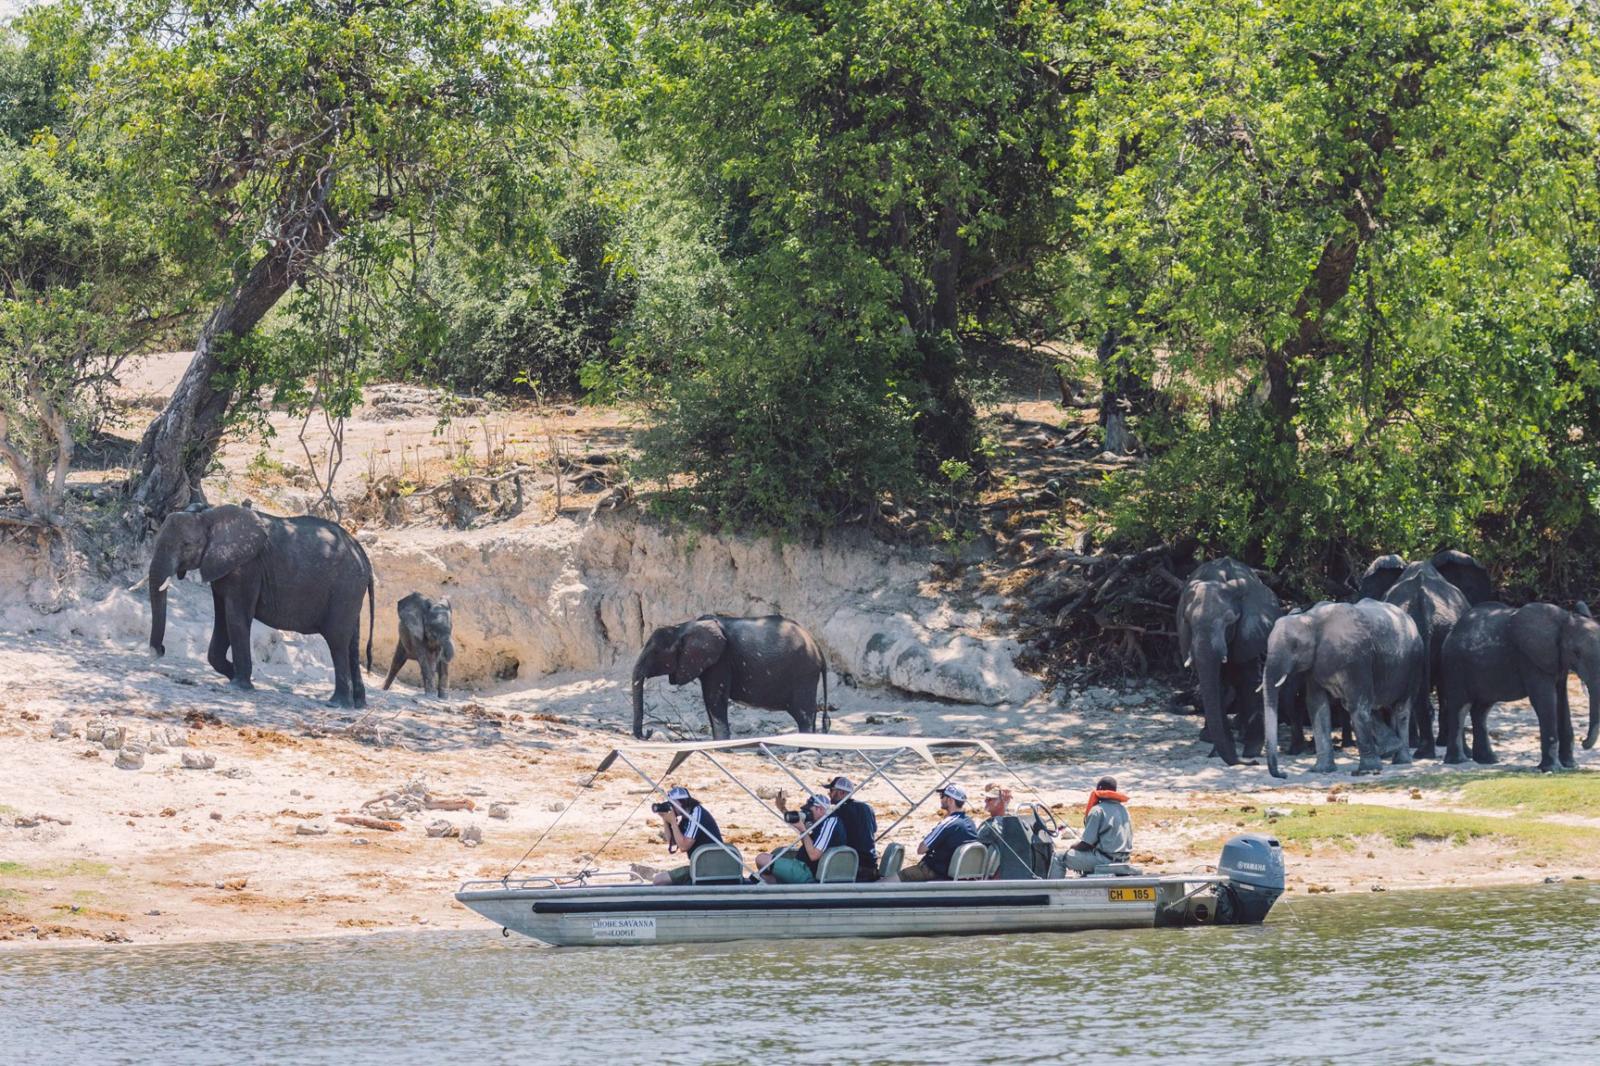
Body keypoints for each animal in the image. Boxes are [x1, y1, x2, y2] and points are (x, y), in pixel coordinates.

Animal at [141, 504, 375, 708]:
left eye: (187, 545)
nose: (160, 650)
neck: (209, 516)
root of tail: (364, 557)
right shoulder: (224, 568)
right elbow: (222, 619)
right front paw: (234, 674)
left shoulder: (247, 568)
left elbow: (236, 618)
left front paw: (239, 685)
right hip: (351, 593)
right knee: (351, 643)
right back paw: (358, 704)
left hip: (345, 588)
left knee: (337, 642)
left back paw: (338, 704)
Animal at [631, 615, 828, 741]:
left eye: (655, 653)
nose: (648, 732)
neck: (683, 627)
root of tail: (817, 647)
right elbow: (710, 701)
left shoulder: (721, 660)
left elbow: (714, 699)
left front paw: (721, 746)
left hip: (804, 674)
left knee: (804, 715)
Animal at [1176, 557, 1281, 765]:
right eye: (1188, 621)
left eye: (1230, 622)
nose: (1251, 763)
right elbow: (1217, 683)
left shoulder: (1250, 631)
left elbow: (1249, 679)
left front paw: (1252, 750)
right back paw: (1209, 737)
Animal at [1262, 600, 1425, 778]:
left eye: (1295, 646)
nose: (1283, 775)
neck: (1310, 619)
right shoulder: (1315, 665)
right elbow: (1317, 706)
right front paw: (1321, 770)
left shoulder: (1356, 658)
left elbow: (1357, 706)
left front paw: (1367, 771)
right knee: (1369, 706)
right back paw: (1391, 750)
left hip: (1414, 663)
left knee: (1400, 708)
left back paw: (1401, 760)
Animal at [1438, 602, 1600, 771]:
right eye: (1576, 652)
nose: (1583, 741)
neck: (1564, 619)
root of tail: (1452, 632)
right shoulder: (1529, 659)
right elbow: (1545, 701)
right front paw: (1551, 769)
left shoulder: (1558, 662)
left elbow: (1562, 701)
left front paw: (1571, 765)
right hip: (1454, 665)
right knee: (1460, 707)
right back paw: (1458, 761)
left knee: (1481, 710)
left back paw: (1489, 760)